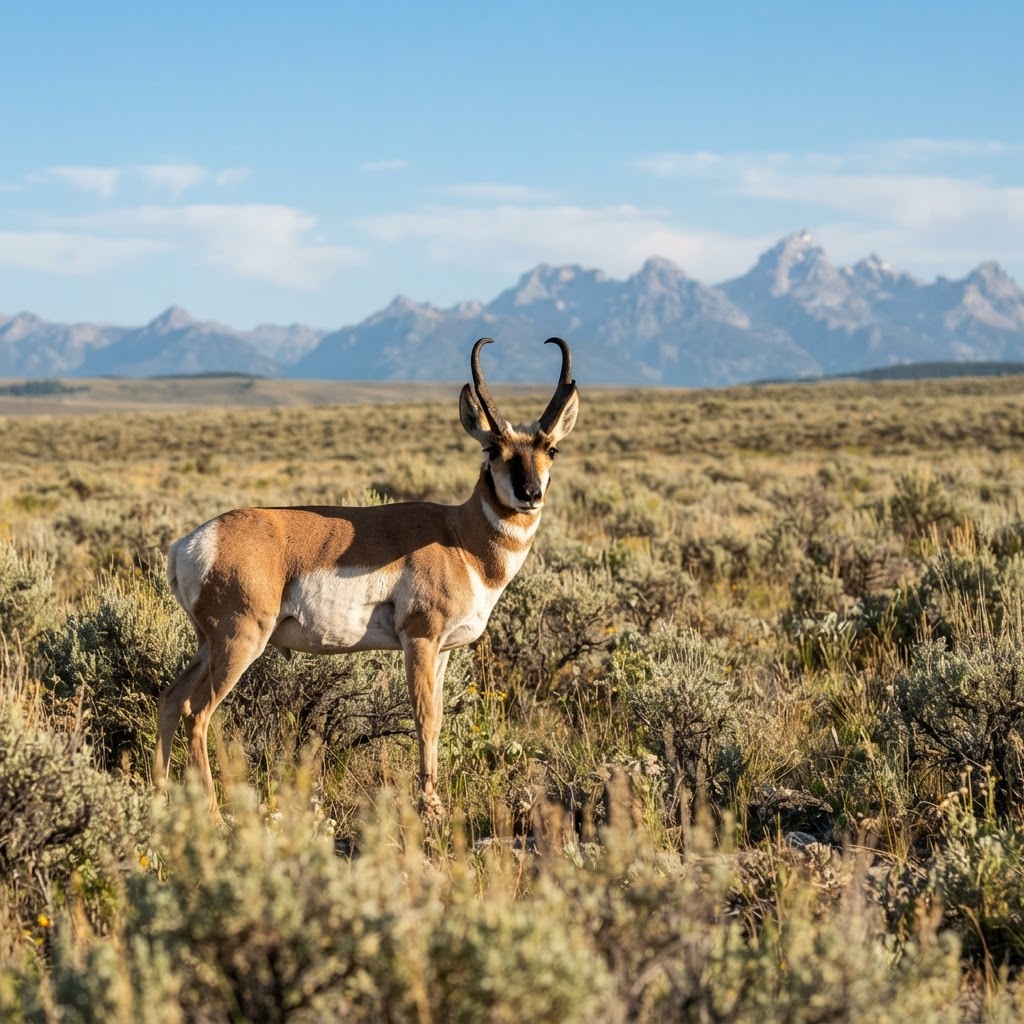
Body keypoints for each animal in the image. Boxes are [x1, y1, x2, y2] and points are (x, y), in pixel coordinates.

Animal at [153, 337, 579, 821]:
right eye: (493, 449)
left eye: (551, 450)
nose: (530, 494)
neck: (457, 536)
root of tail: (191, 542)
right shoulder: (420, 641)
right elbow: (424, 718)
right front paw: (430, 806)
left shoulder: (444, 651)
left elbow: (437, 718)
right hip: (238, 643)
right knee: (196, 711)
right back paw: (212, 814)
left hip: (207, 645)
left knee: (169, 700)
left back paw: (158, 800)